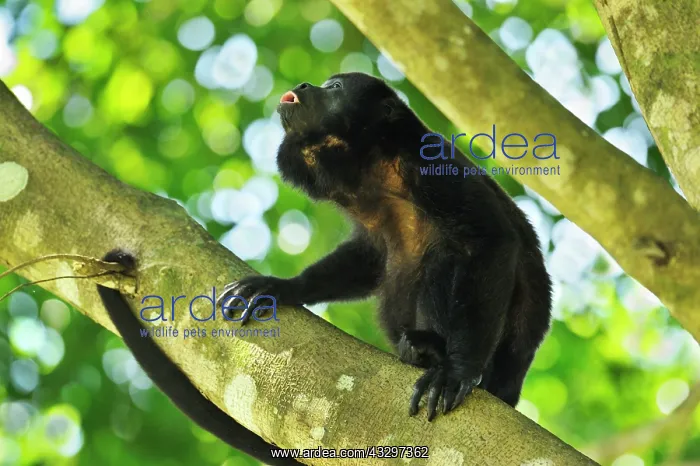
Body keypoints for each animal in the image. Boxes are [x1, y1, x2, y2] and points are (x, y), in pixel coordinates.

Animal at [218, 72, 553, 421]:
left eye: (335, 87)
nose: (302, 86)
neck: (374, 166)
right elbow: (370, 256)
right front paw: (283, 287)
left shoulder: (429, 162)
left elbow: (491, 238)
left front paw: (458, 371)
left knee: (445, 257)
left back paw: (431, 350)